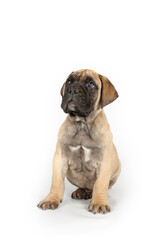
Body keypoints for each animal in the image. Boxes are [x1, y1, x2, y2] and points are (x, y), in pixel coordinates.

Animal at [37, 69, 120, 214]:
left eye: (91, 84)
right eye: (69, 81)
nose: (73, 90)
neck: (82, 124)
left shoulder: (104, 161)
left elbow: (100, 184)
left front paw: (99, 202)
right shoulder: (60, 158)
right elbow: (57, 181)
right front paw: (51, 199)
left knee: (98, 186)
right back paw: (82, 192)